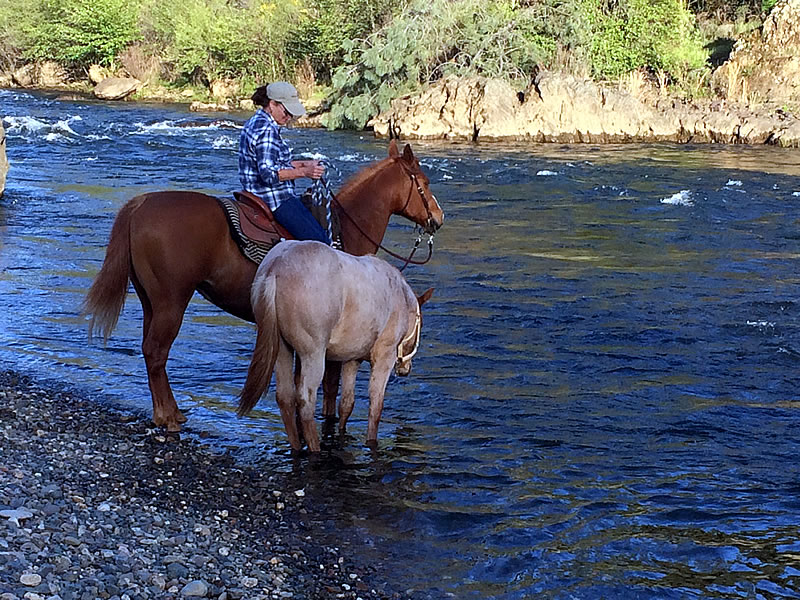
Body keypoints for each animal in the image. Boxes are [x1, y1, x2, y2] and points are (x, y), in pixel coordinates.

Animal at [238, 239, 434, 450]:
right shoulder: (384, 358)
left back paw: (297, 447)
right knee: (306, 403)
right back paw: (315, 448)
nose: (406, 369)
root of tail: (275, 268)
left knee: (285, 398)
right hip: (313, 355)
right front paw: (371, 442)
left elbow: (346, 403)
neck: (401, 297)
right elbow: (376, 406)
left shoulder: (352, 360)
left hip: (282, 350)